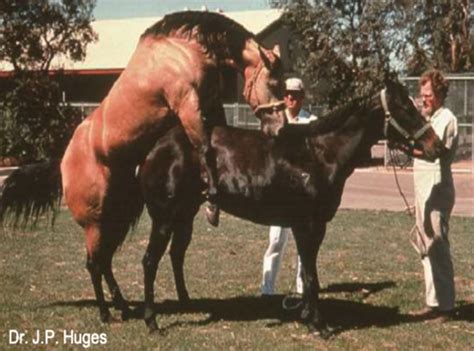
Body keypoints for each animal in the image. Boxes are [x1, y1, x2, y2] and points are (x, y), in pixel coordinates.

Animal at [0, 10, 286, 324]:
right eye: (274, 84)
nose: (280, 128)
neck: (185, 49)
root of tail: (62, 163)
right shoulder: (188, 105)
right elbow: (204, 147)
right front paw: (212, 199)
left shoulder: (210, 107)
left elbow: (215, 141)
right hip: (95, 224)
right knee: (93, 264)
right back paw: (106, 314)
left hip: (118, 218)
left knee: (105, 262)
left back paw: (123, 307)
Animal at [139, 80, 446, 338]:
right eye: (405, 108)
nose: (437, 146)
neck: (319, 154)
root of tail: (157, 147)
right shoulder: (307, 225)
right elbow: (310, 275)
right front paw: (319, 325)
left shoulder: (312, 226)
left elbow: (309, 273)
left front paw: (308, 316)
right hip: (164, 218)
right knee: (150, 261)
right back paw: (152, 322)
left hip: (184, 215)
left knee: (176, 255)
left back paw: (186, 302)